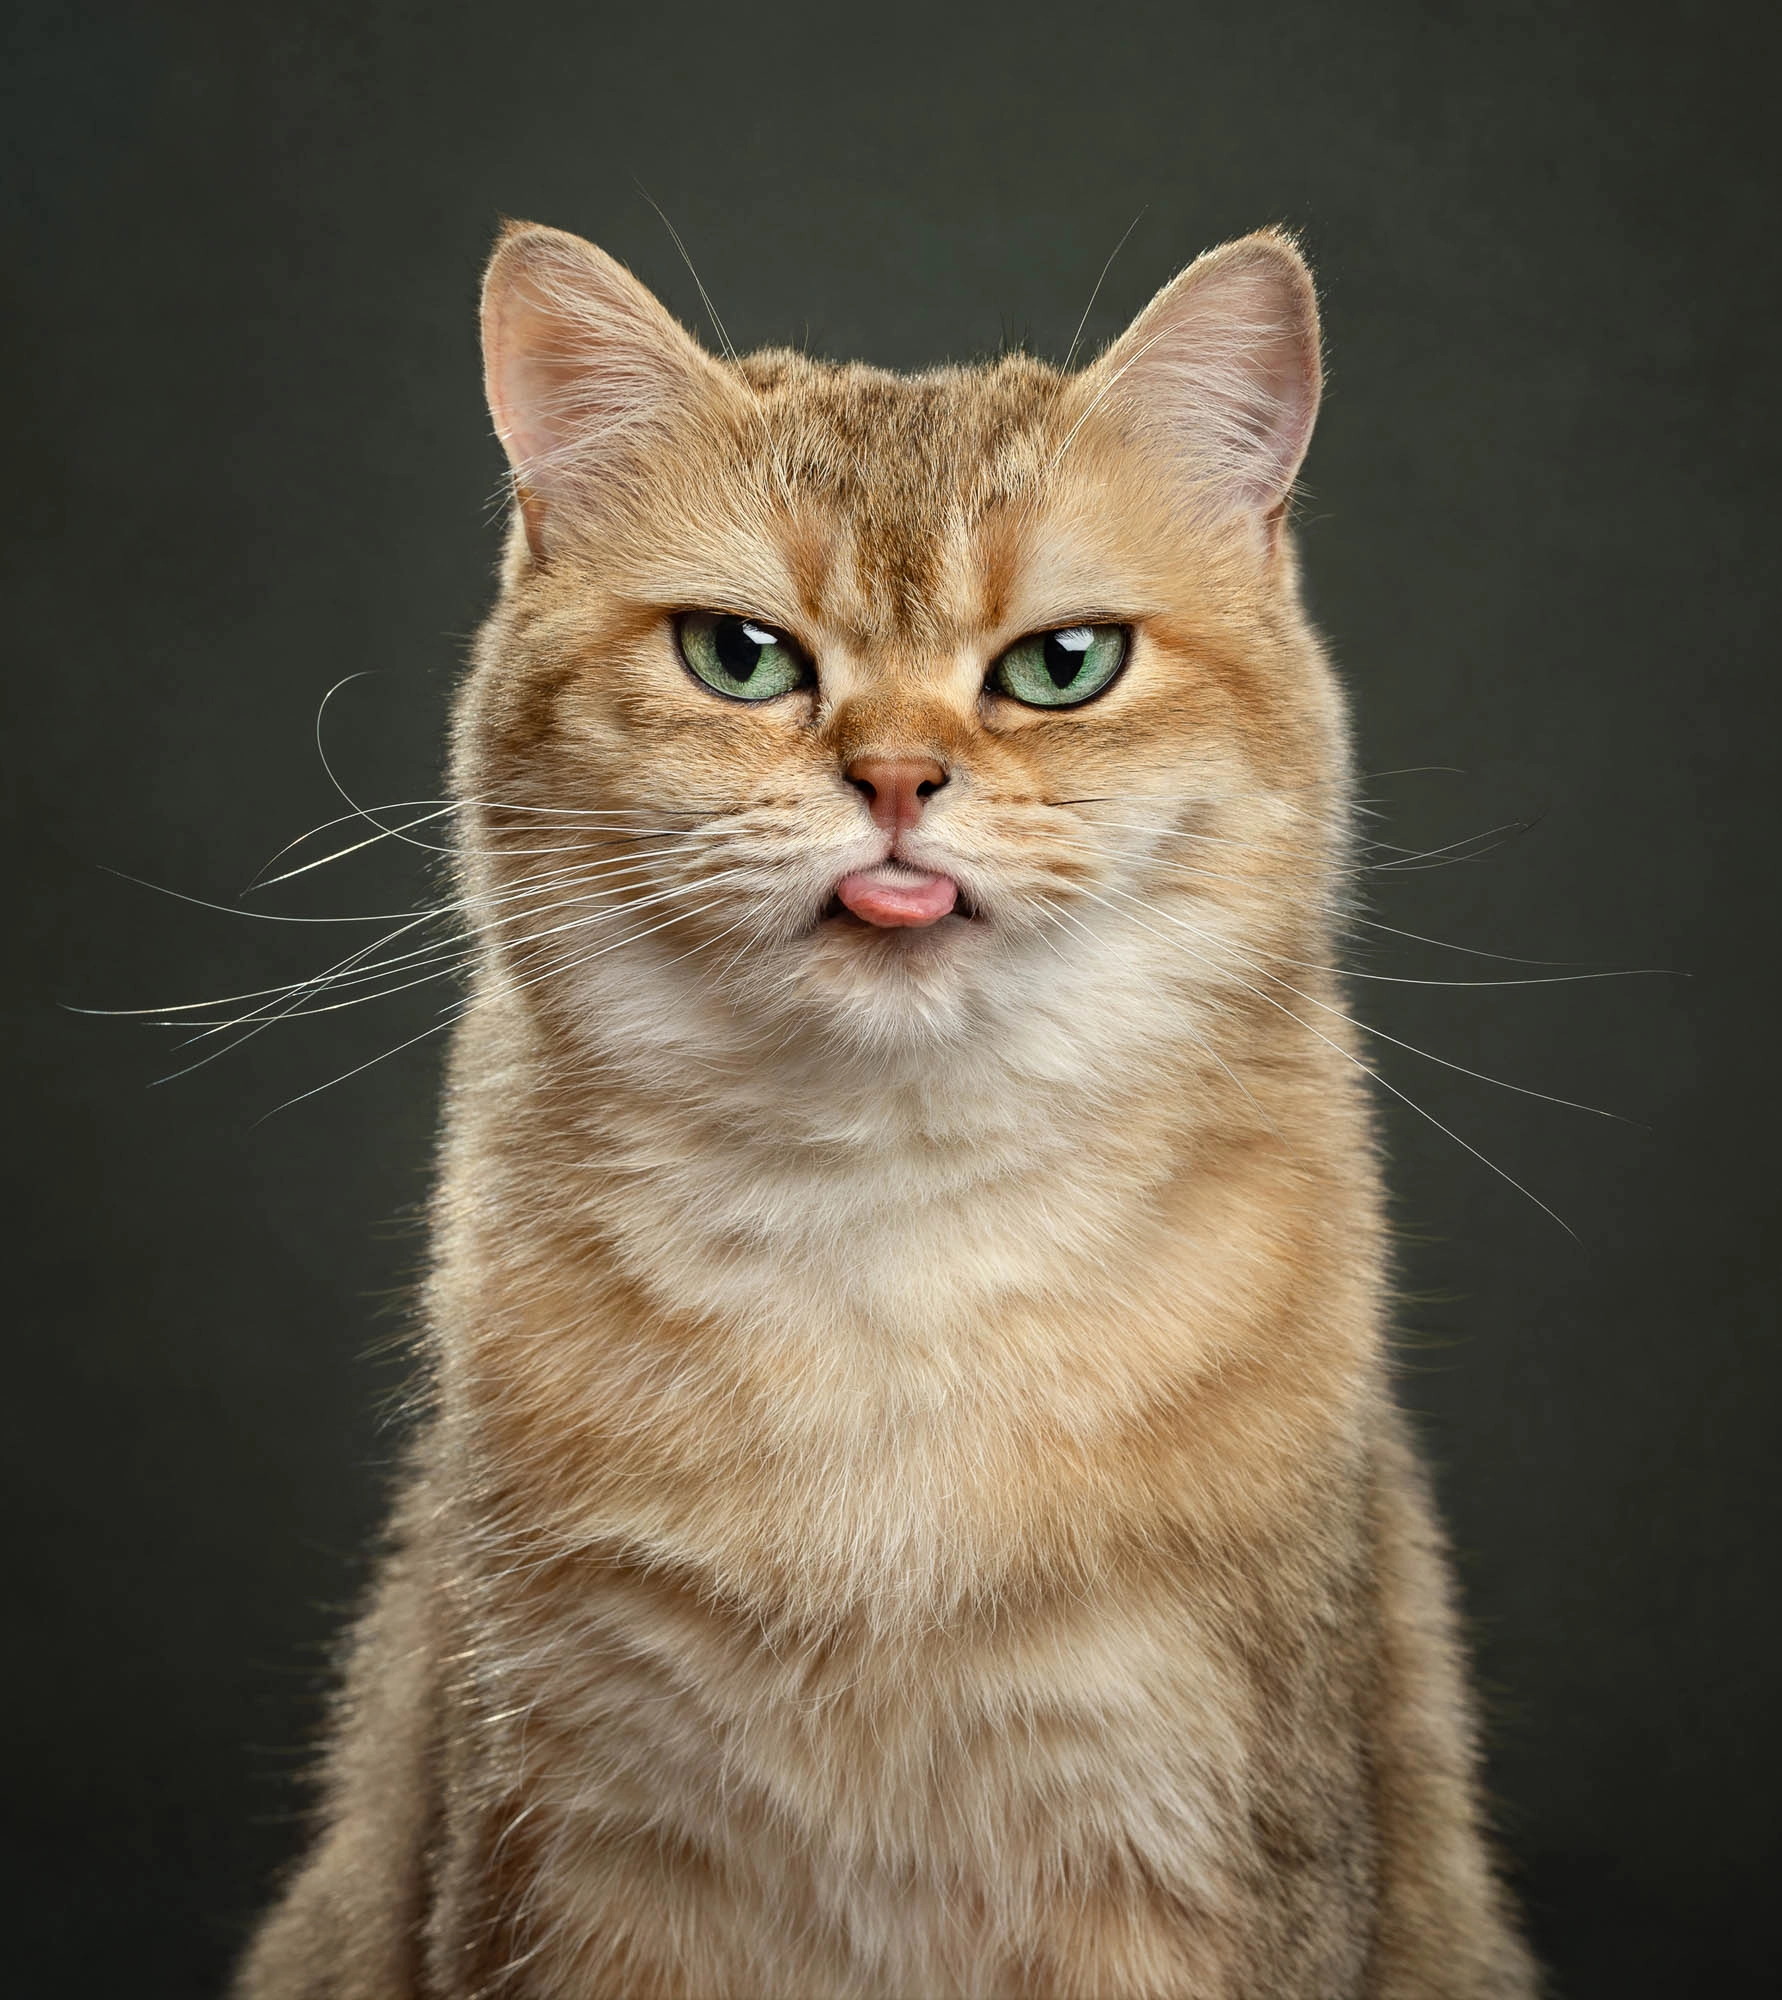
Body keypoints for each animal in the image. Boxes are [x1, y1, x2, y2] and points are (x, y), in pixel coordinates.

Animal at [237, 219, 1544, 2000]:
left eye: (1062, 665)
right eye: (738, 657)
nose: (897, 779)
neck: (887, 1218)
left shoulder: (1186, 1830)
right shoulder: (563, 1843)